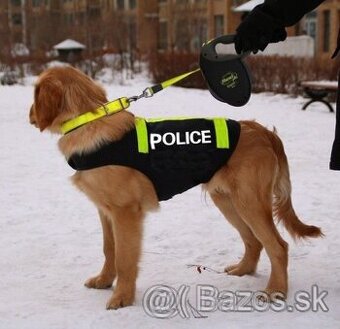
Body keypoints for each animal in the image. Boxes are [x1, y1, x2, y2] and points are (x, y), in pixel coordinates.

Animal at [28, 66, 322, 308]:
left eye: (35, 92)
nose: (29, 115)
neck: (88, 122)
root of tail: (264, 132)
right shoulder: (105, 211)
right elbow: (109, 249)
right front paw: (104, 281)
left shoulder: (126, 213)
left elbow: (124, 258)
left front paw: (122, 297)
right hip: (228, 201)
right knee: (254, 241)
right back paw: (243, 270)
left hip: (250, 202)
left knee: (278, 246)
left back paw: (276, 291)